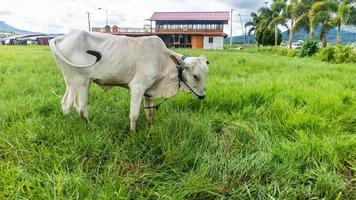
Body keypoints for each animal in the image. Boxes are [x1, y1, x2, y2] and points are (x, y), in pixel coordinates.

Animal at [48, 29, 207, 131]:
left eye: (206, 74)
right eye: (195, 76)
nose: (202, 96)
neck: (163, 60)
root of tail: (60, 37)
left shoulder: (149, 91)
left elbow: (149, 113)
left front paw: (150, 128)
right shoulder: (137, 86)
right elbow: (134, 115)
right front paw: (133, 134)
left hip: (70, 82)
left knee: (66, 104)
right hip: (81, 82)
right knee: (81, 108)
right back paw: (90, 128)